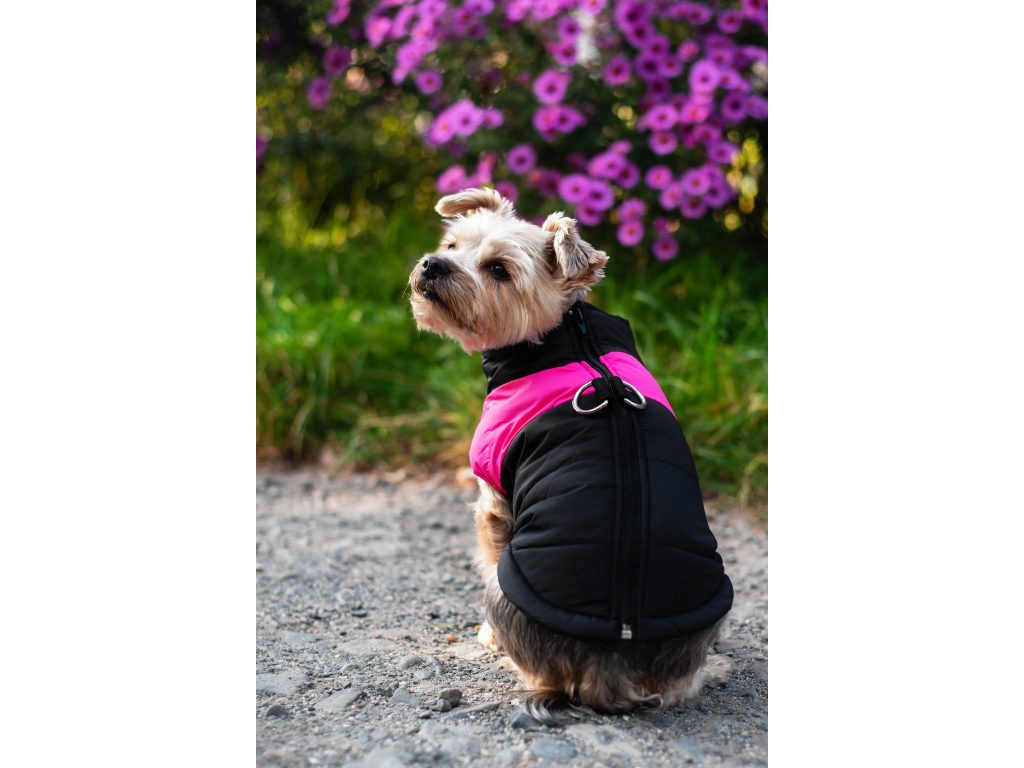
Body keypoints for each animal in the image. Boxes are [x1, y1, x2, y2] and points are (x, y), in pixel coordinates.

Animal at [409, 187, 733, 721]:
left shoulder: (495, 499)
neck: (574, 338)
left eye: (498, 269)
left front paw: (486, 637)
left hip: (508, 584)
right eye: (452, 245)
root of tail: (612, 664)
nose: (433, 264)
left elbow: (486, 548)